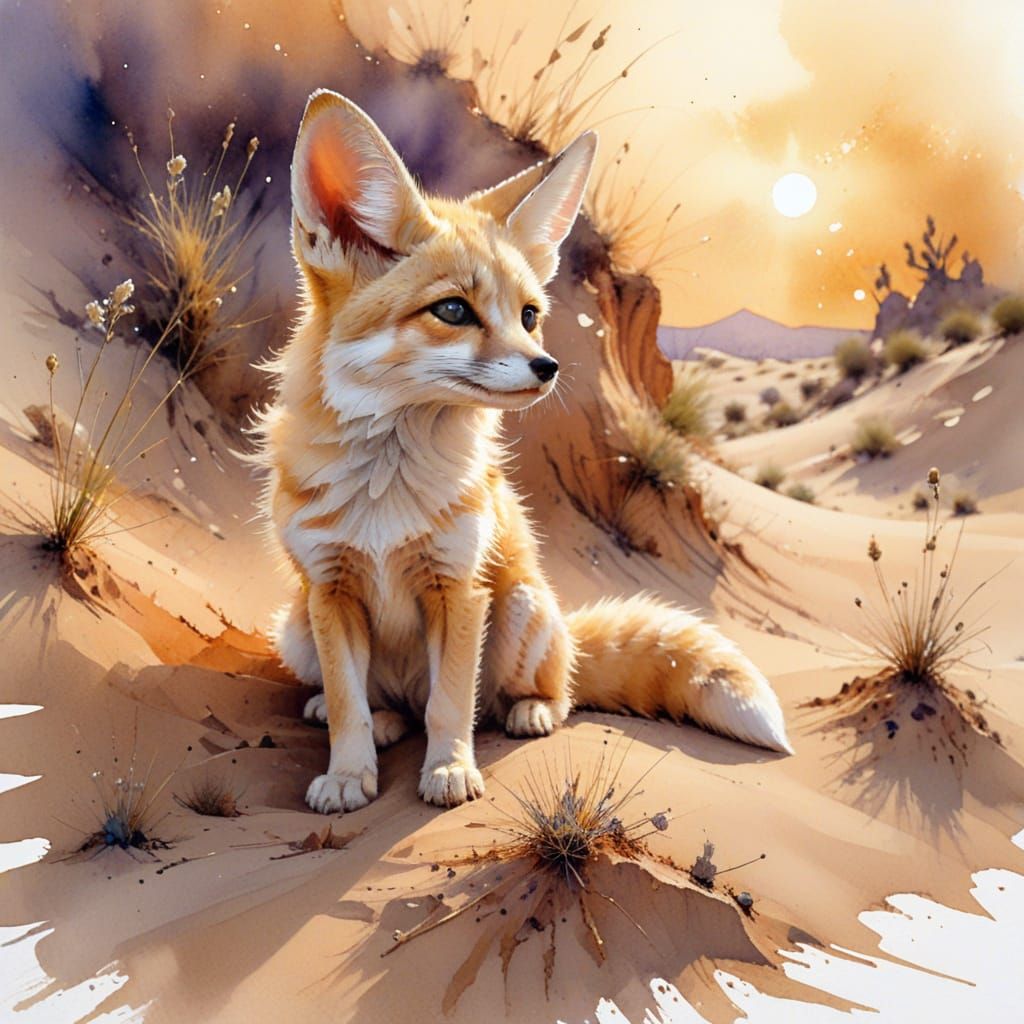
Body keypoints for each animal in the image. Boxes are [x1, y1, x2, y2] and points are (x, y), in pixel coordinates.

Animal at [255, 89, 792, 815]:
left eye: (530, 315)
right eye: (453, 310)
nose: (548, 368)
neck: (385, 496)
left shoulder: (459, 587)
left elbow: (451, 706)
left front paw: (449, 771)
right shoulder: (329, 588)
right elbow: (349, 707)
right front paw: (347, 775)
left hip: (519, 606)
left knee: (537, 696)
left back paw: (529, 711)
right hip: (296, 627)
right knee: (388, 704)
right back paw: (379, 717)